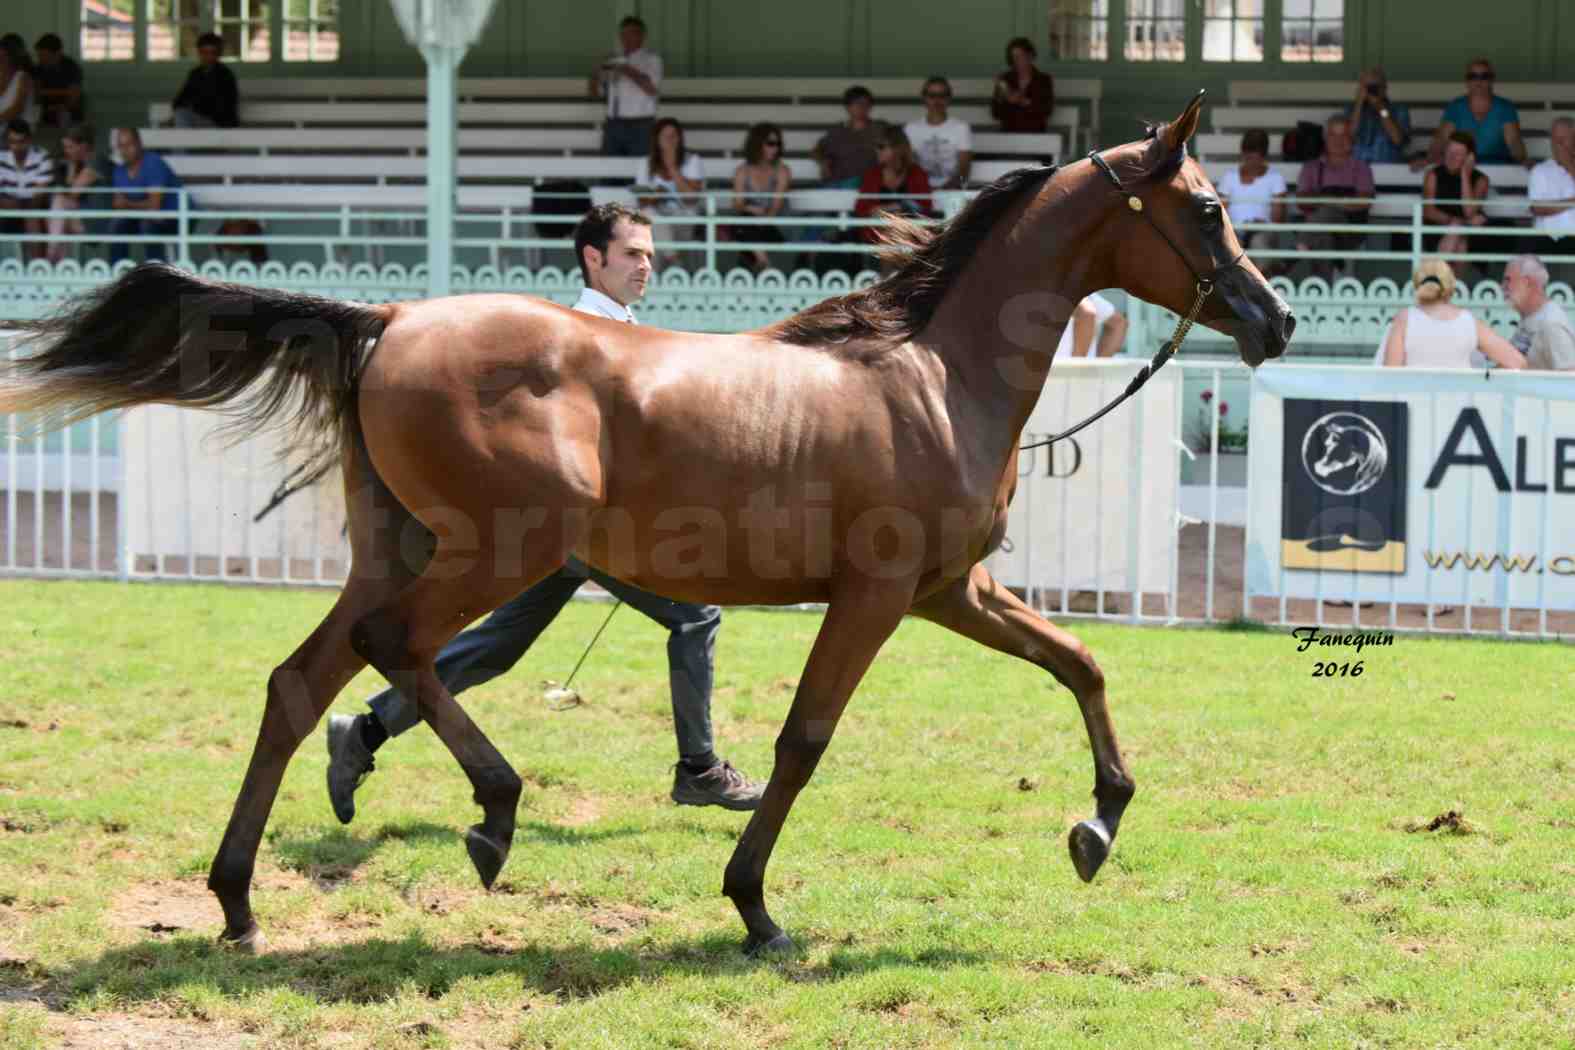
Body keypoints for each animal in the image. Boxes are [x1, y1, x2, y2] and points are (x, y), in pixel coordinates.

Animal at [3, 94, 1291, 957]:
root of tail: (386, 320)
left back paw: (237, 898)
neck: (933, 375)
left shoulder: (949, 592)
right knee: (393, 653)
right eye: (1208, 208)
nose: (1273, 317)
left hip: (405, 548)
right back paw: (492, 815)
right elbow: (804, 743)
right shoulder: (877, 597)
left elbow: (1081, 662)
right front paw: (756, 906)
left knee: (303, 681)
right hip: (499, 549)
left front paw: (1098, 825)